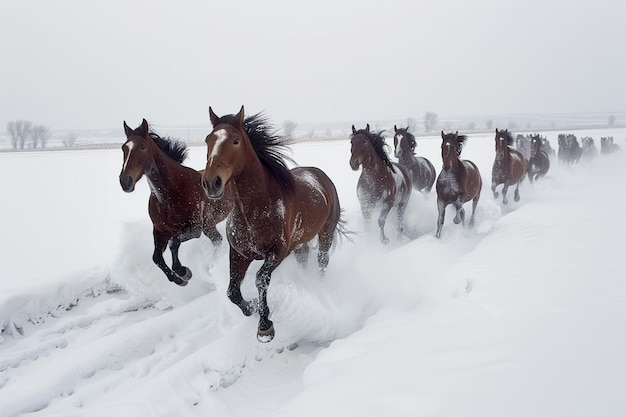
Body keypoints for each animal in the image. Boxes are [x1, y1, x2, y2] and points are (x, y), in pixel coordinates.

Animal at [119, 118, 232, 284]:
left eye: (143, 147)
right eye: (123, 148)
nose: (125, 181)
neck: (169, 197)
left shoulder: (194, 229)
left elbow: (174, 242)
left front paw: (183, 272)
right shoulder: (160, 231)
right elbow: (157, 257)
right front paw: (178, 278)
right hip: (209, 226)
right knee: (217, 240)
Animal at [201, 106, 342, 342]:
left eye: (236, 140)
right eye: (207, 140)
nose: (211, 183)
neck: (255, 211)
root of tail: (321, 175)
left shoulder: (277, 252)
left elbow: (260, 279)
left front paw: (265, 326)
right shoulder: (239, 253)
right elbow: (232, 291)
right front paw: (251, 307)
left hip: (326, 233)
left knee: (323, 261)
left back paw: (319, 284)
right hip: (300, 244)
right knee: (304, 258)